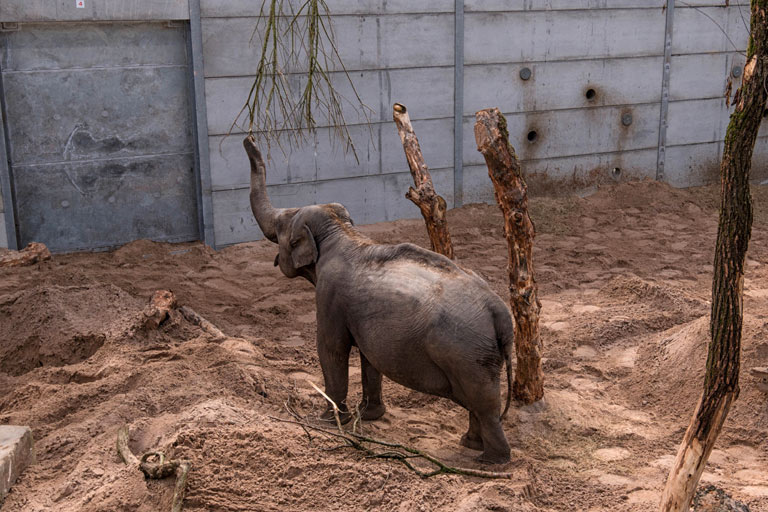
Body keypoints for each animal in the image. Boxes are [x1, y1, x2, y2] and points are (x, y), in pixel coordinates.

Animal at [244, 135, 515, 463]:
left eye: (280, 227)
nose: (249, 138)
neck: (343, 232)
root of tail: (500, 312)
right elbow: (367, 354)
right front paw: (369, 415)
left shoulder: (329, 295)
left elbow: (331, 349)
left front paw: (329, 421)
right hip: (480, 355)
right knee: (480, 402)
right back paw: (471, 444)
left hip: (467, 352)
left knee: (483, 403)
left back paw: (490, 462)